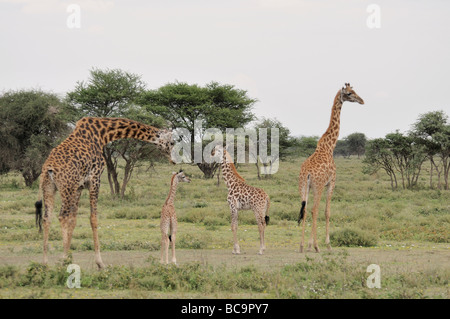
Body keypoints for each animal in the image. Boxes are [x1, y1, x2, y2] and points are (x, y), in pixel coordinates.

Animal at [34, 116, 176, 268]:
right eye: (172, 142)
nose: (173, 161)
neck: (104, 133)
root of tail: (48, 169)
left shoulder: (79, 186)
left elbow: (74, 220)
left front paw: (70, 257)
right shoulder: (95, 179)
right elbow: (93, 218)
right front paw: (100, 263)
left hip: (49, 189)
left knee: (47, 218)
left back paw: (45, 263)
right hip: (67, 187)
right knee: (62, 216)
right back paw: (63, 261)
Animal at [298, 84, 366, 254]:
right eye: (349, 93)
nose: (362, 100)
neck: (329, 147)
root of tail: (307, 173)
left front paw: (308, 245)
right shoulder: (331, 183)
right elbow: (327, 212)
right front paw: (327, 245)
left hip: (303, 187)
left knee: (306, 209)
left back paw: (301, 246)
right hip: (318, 186)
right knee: (314, 210)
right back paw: (317, 246)